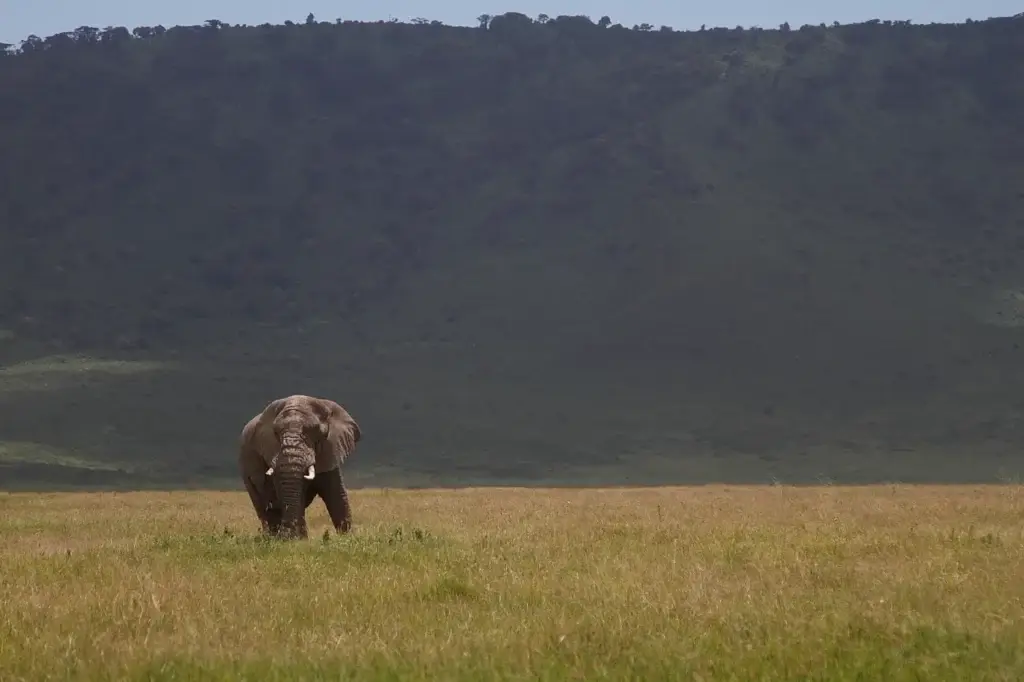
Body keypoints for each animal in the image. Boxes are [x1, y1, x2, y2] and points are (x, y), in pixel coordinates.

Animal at [238, 394, 361, 539]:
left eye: (316, 432)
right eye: (276, 433)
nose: (287, 535)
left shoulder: (330, 451)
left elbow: (336, 493)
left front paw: (347, 537)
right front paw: (298, 540)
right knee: (263, 508)